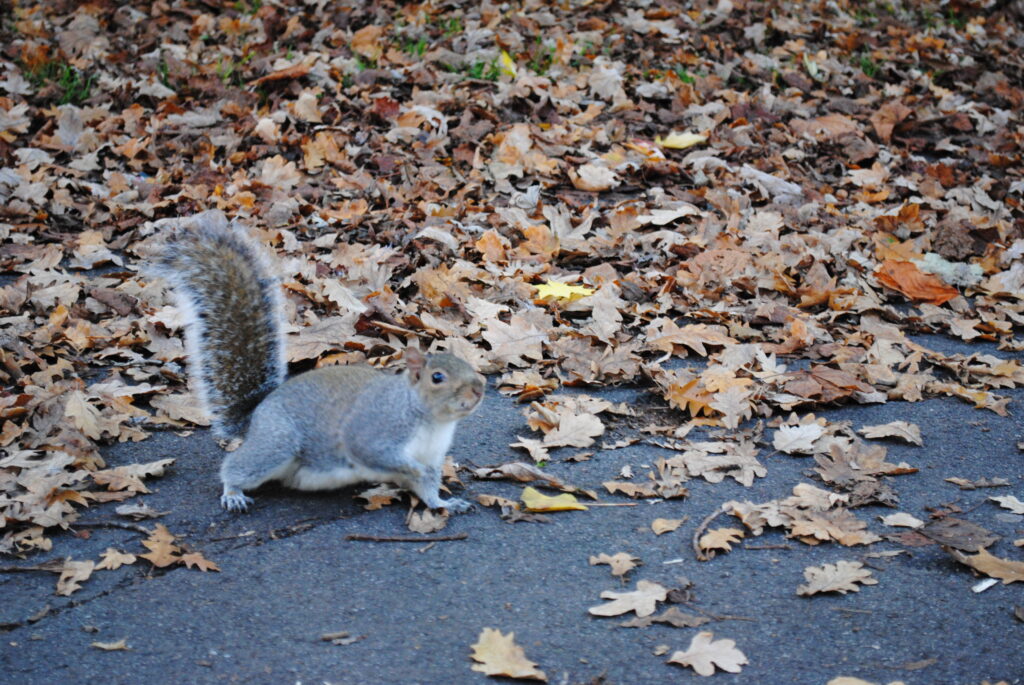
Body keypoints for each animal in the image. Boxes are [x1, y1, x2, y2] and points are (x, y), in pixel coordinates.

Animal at [153, 213, 485, 511]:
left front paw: (445, 503)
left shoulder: (432, 455)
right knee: (236, 466)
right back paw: (233, 493)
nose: (479, 390)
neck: (431, 422)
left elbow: (427, 488)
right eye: (437, 377)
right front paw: (414, 471)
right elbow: (375, 453)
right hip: (276, 444)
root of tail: (256, 416)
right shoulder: (375, 429)